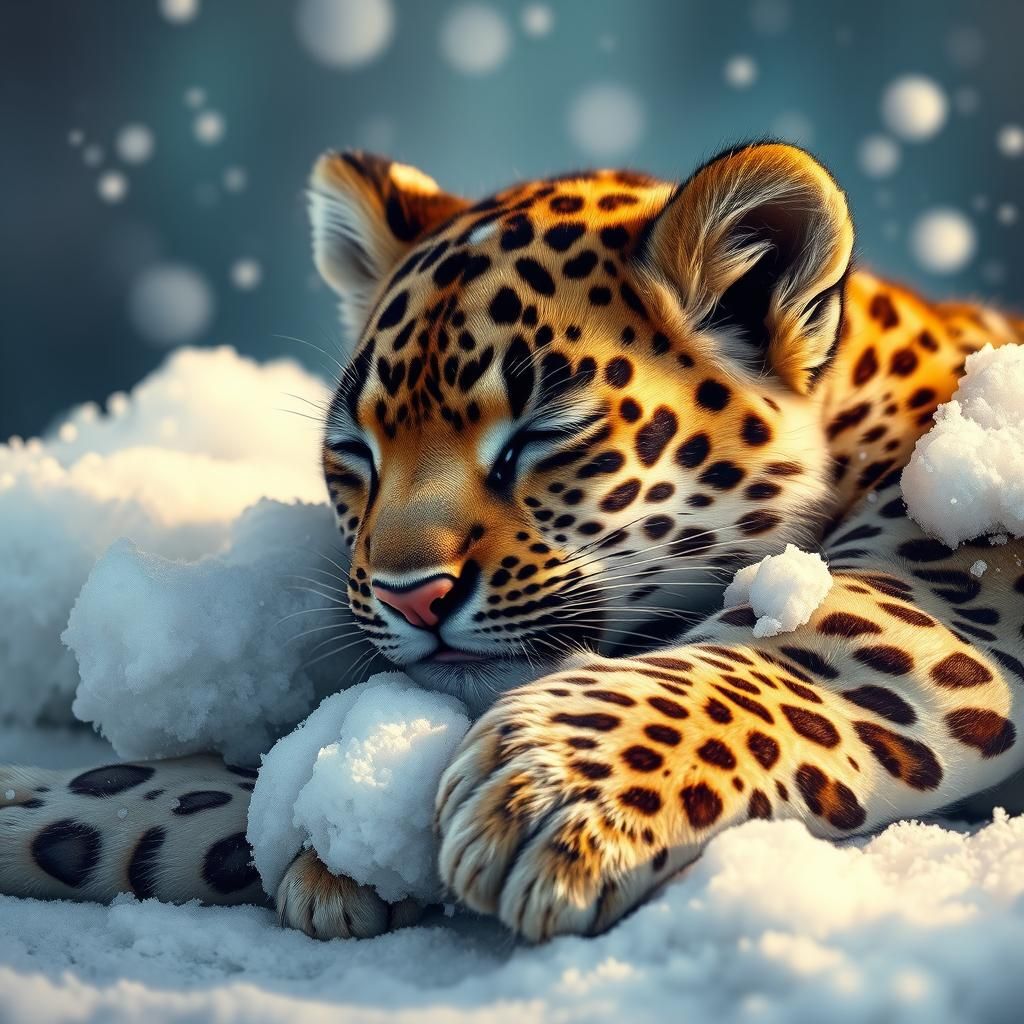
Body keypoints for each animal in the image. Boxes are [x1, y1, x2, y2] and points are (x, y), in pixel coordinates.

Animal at [2, 141, 1023, 944]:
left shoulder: (954, 593)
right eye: (355, 453)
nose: (410, 593)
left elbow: (778, 657)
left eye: (541, 433)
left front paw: (552, 799)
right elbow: (194, 796)